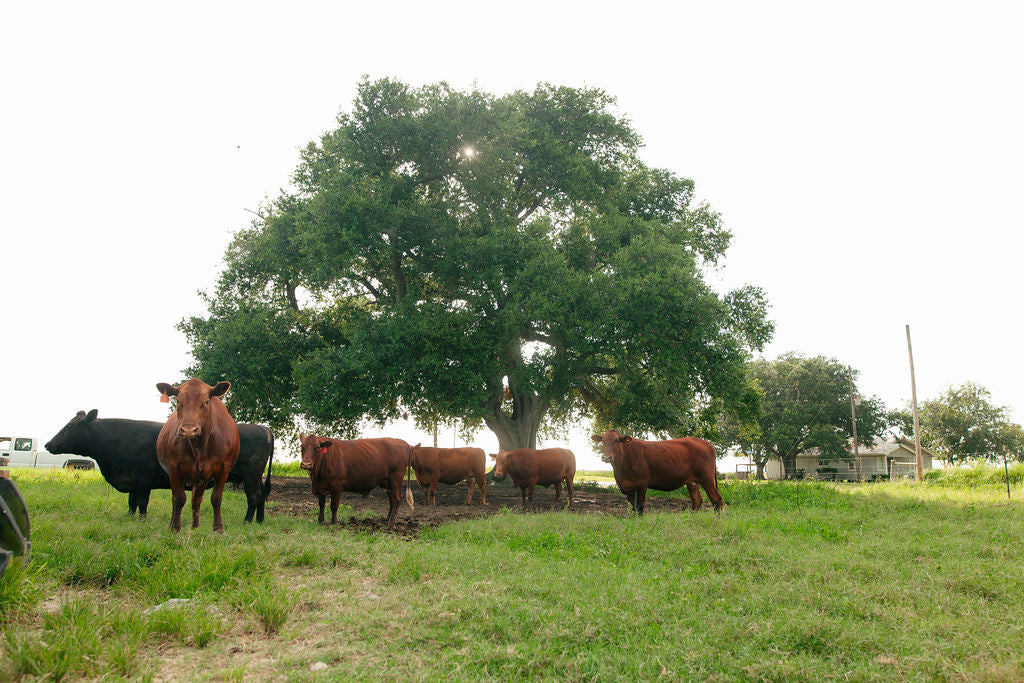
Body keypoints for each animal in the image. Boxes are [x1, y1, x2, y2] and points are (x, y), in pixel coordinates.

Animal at [45, 410, 274, 522]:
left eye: (71, 427)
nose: (48, 444)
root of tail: (262, 428)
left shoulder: (142, 478)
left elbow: (141, 502)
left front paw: (142, 520)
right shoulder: (133, 480)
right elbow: (131, 502)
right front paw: (129, 518)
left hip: (250, 474)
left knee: (254, 497)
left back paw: (247, 521)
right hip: (254, 476)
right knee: (261, 495)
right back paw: (259, 521)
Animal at [155, 378, 240, 532]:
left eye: (206, 402)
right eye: (178, 401)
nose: (189, 429)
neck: (199, 446)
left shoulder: (223, 469)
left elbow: (216, 498)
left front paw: (218, 528)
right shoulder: (174, 469)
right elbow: (179, 499)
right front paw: (175, 528)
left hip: (203, 478)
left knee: (196, 499)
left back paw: (195, 526)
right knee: (175, 499)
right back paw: (173, 523)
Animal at [591, 430, 723, 515]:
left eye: (617, 441)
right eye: (603, 441)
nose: (606, 457)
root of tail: (706, 443)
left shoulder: (641, 485)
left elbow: (639, 507)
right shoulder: (627, 487)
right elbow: (632, 508)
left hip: (707, 479)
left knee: (717, 500)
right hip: (692, 482)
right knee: (697, 501)